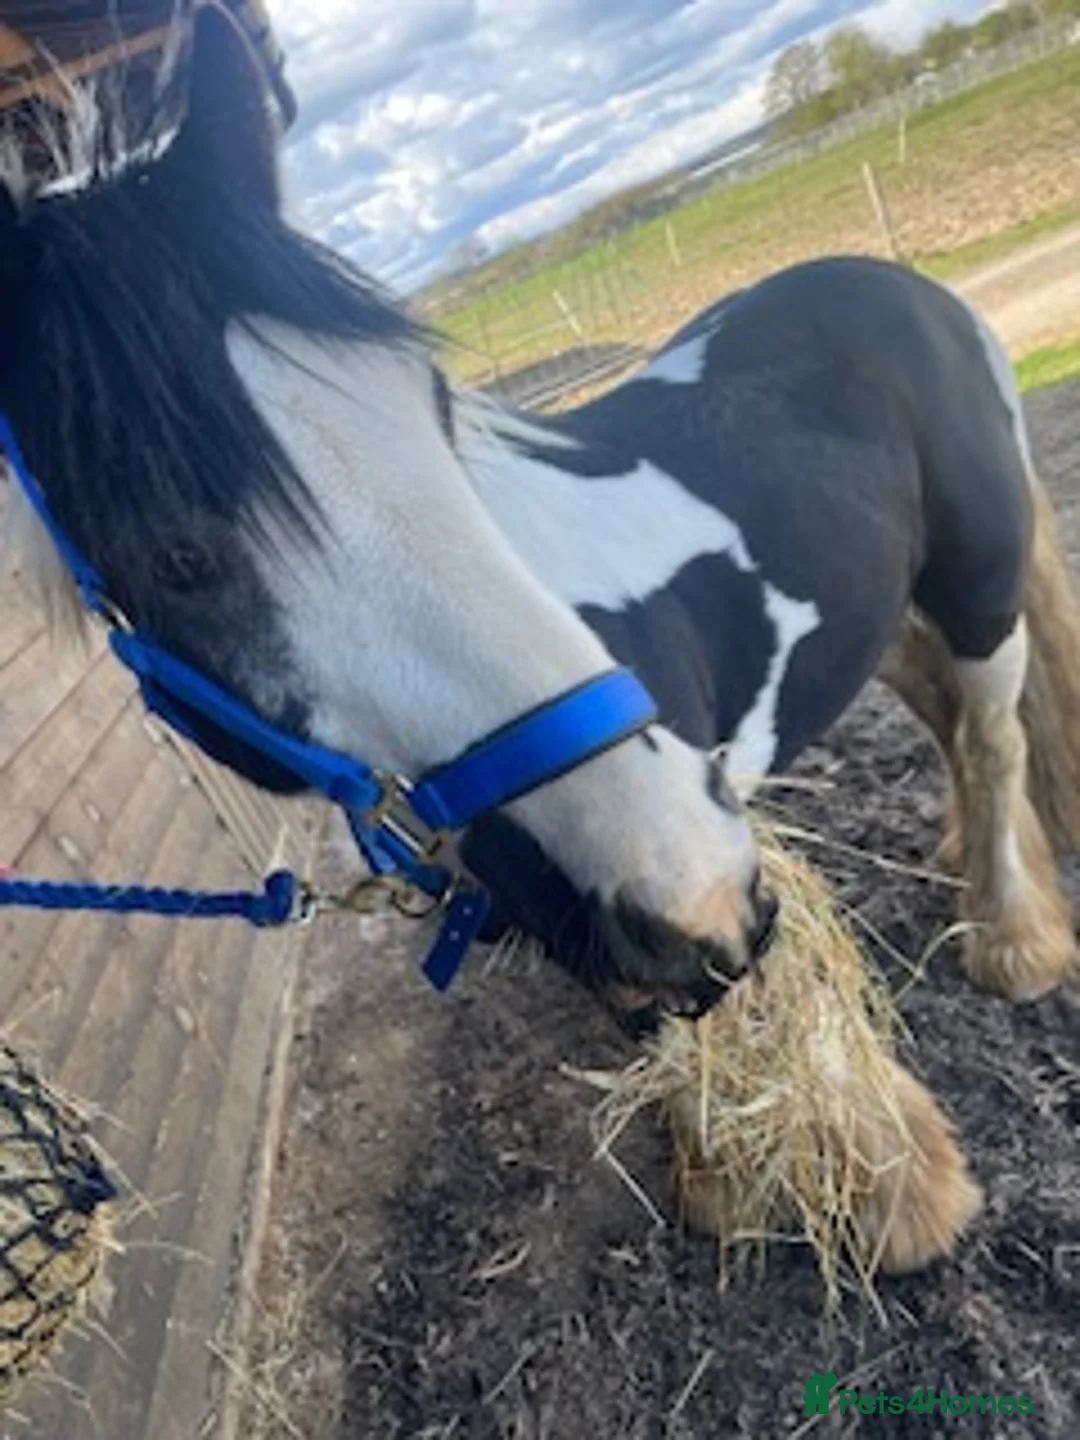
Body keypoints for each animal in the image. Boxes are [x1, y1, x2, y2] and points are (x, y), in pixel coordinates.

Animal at [2, 6, 1079, 1045]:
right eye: (177, 559)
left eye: (434, 409)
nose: (692, 884)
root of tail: (896, 284)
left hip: (981, 591)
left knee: (992, 734)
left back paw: (1015, 941)